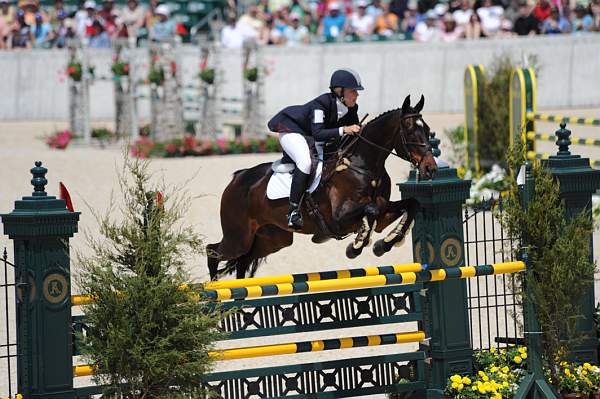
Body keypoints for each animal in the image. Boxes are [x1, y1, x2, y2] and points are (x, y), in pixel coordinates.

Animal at [209, 95, 438, 280]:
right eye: (411, 131)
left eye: (427, 130)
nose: (430, 169)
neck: (363, 166)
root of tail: (237, 179)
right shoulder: (339, 218)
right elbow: (370, 210)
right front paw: (356, 246)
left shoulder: (384, 212)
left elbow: (411, 205)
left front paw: (385, 244)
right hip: (238, 237)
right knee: (213, 251)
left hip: (273, 239)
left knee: (241, 261)